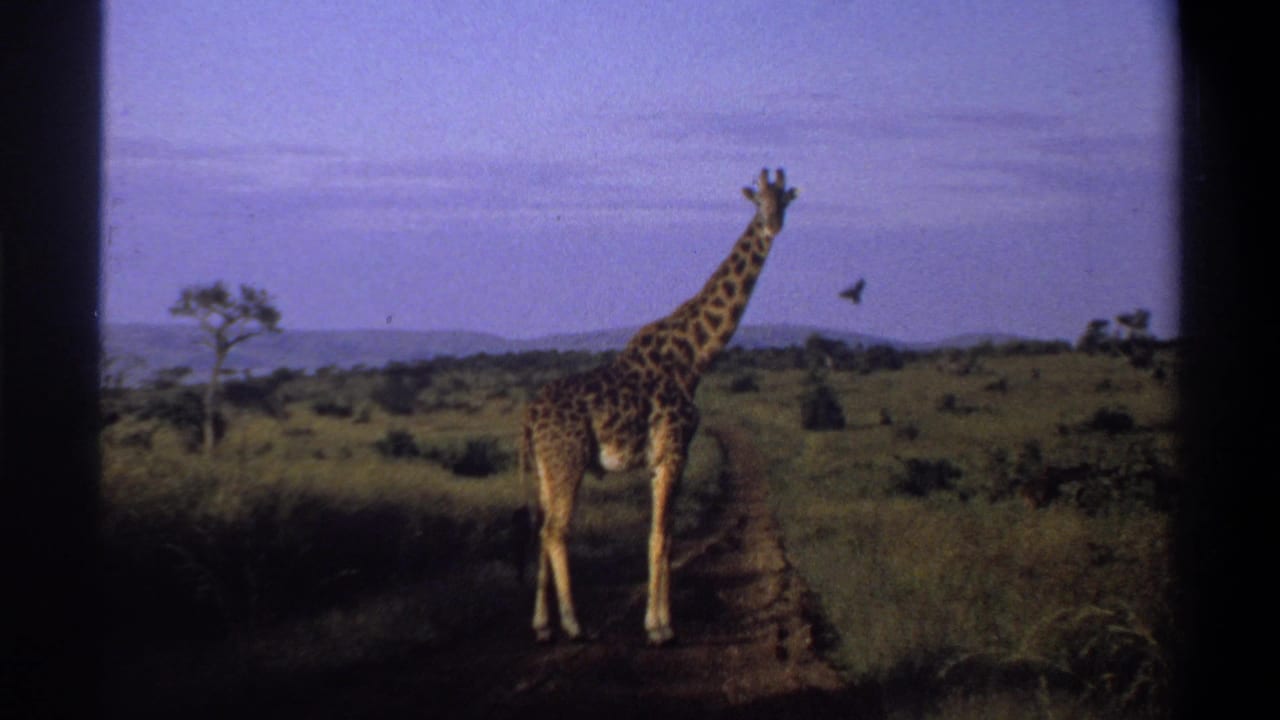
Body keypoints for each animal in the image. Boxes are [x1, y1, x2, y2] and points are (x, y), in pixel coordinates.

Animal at [520, 168, 797, 645]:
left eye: (783, 201)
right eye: (757, 202)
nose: (773, 226)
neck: (694, 358)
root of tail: (530, 416)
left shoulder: (661, 458)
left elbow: (663, 534)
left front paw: (658, 620)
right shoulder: (673, 450)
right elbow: (662, 536)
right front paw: (661, 627)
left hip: (544, 468)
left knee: (540, 530)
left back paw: (542, 625)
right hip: (567, 461)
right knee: (556, 530)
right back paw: (574, 624)